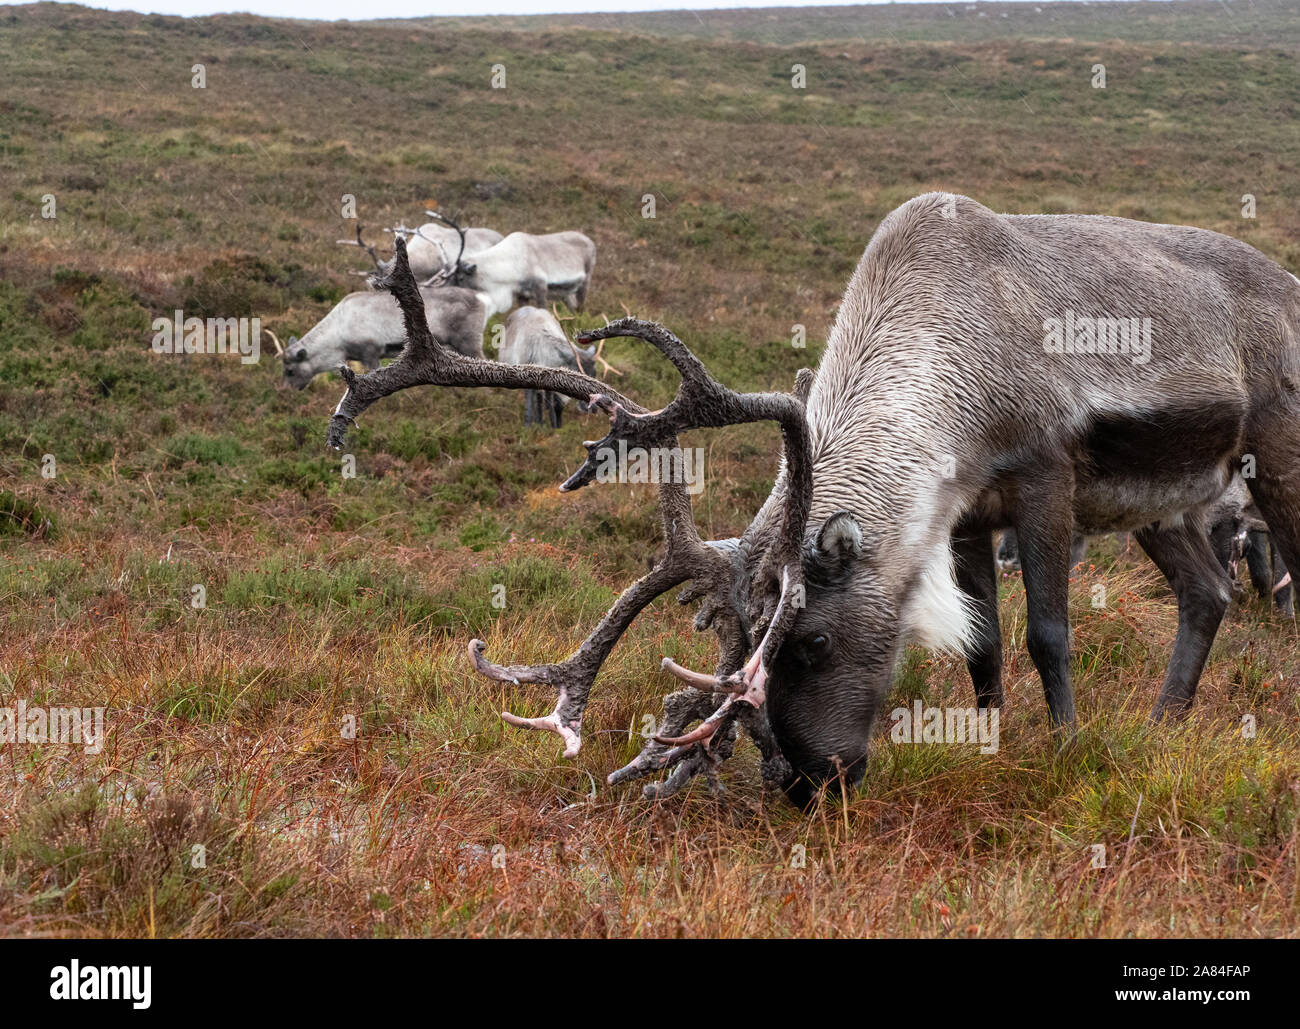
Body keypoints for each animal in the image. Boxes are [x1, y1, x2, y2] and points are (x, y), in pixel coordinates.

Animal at [326, 192, 1300, 809]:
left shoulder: (1045, 478)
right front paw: (992, 741)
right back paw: (1164, 725)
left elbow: (1047, 635)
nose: (805, 785)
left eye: (813, 641)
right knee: (1208, 592)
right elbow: (984, 646)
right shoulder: (966, 514)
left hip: (1274, 455)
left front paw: (1061, 749)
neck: (951, 357)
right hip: (1164, 503)